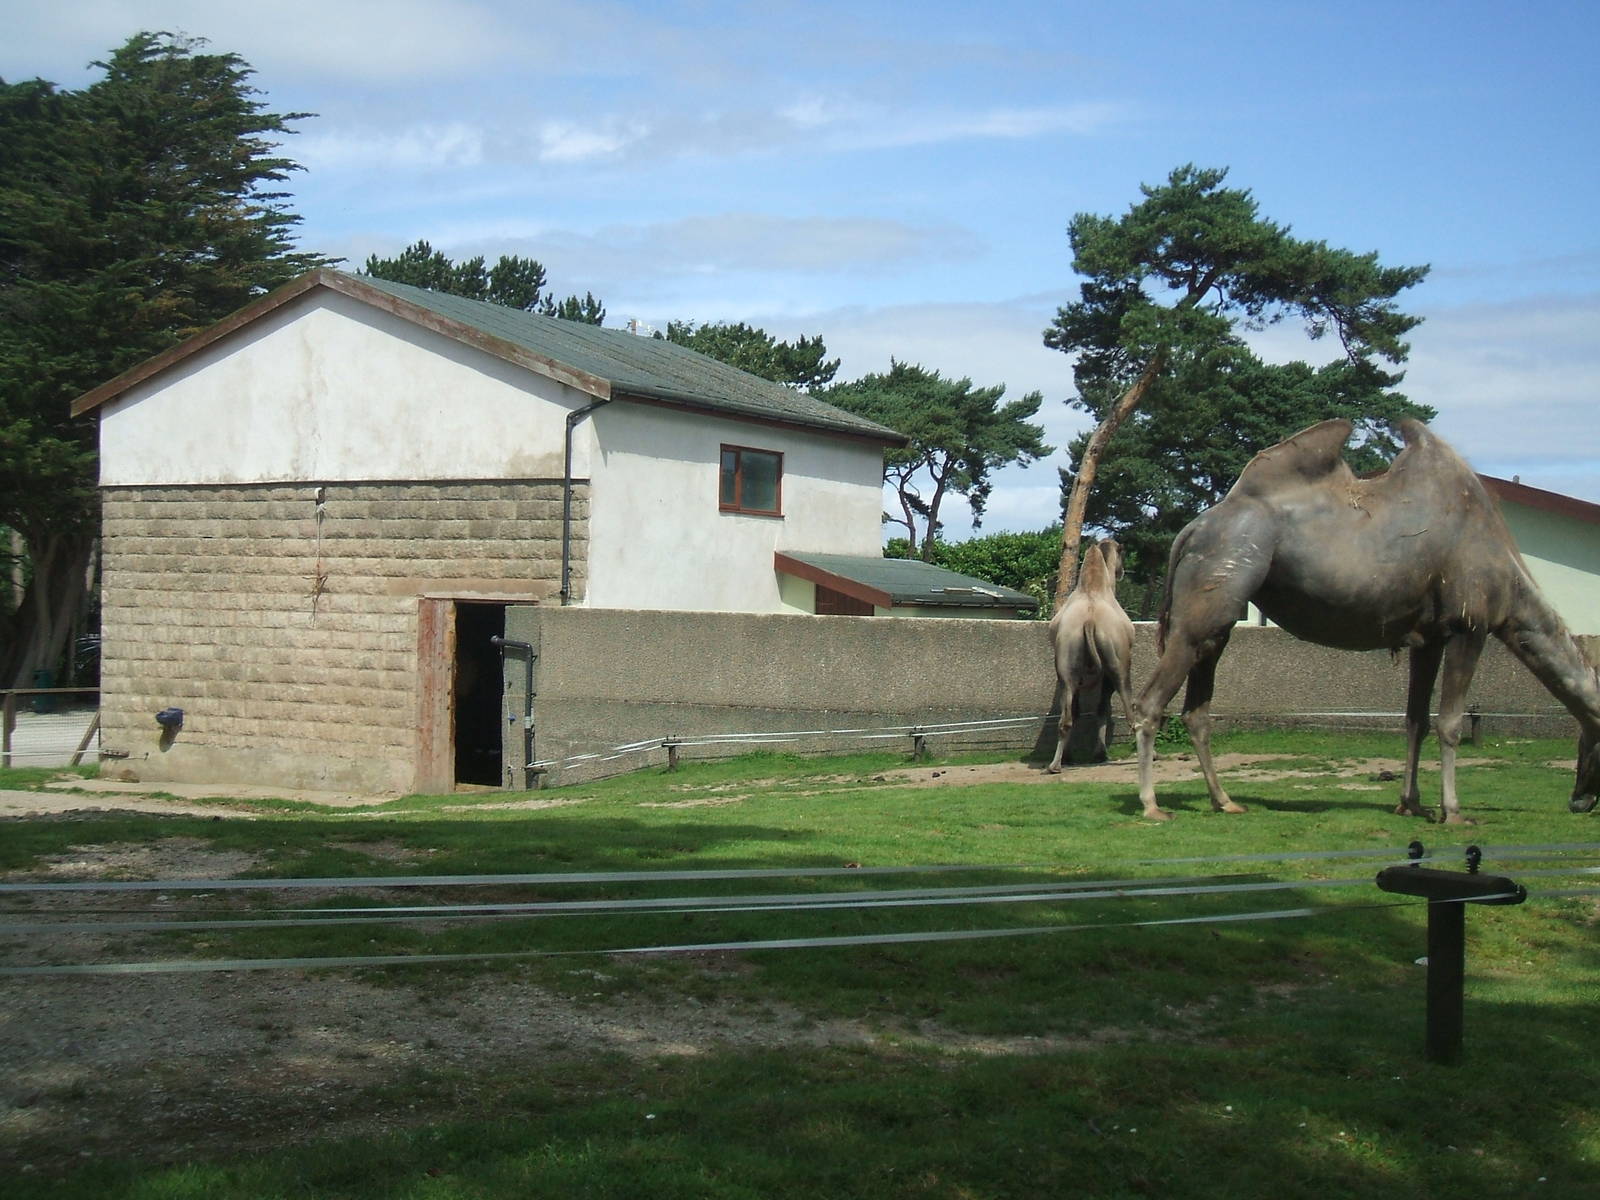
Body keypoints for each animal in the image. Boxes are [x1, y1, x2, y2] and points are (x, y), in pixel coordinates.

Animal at [1048, 539, 1136, 771]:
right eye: (1122, 552)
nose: (1122, 571)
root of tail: (1089, 622)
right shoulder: (1107, 675)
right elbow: (1103, 709)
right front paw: (1100, 753)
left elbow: (1084, 711)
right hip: (1118, 663)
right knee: (1130, 707)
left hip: (1067, 664)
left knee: (1067, 717)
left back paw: (1056, 764)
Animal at [1132, 417, 1600, 823]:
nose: (1580, 801)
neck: (1508, 581)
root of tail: (1191, 530)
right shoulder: (1470, 627)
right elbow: (1449, 723)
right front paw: (1453, 813)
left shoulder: (1427, 639)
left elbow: (1416, 721)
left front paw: (1410, 804)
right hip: (1203, 613)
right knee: (1151, 701)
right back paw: (1152, 806)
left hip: (1218, 627)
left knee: (1197, 712)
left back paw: (1224, 801)